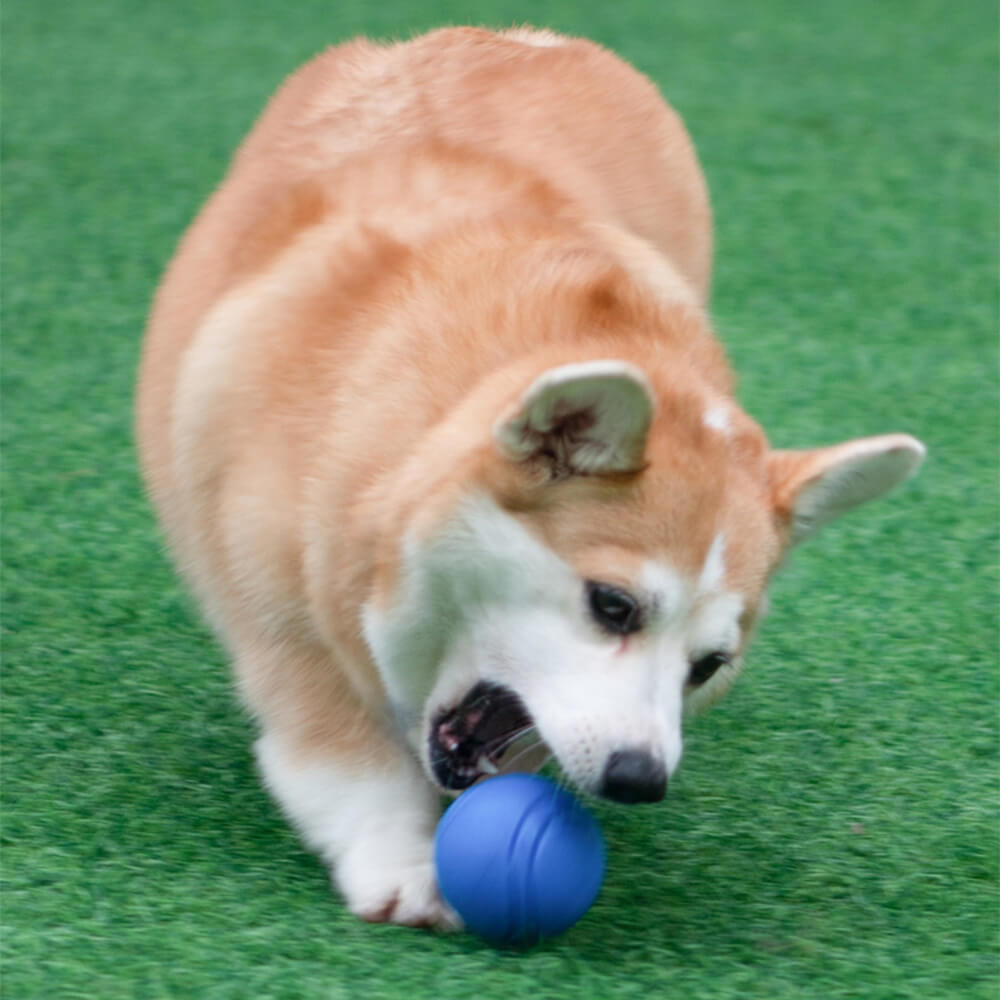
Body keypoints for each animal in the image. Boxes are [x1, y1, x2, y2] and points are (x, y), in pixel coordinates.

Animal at [137, 25, 924, 928]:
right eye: (613, 606)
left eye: (708, 665)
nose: (640, 781)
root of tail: (516, 36)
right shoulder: (283, 617)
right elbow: (341, 754)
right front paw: (401, 862)